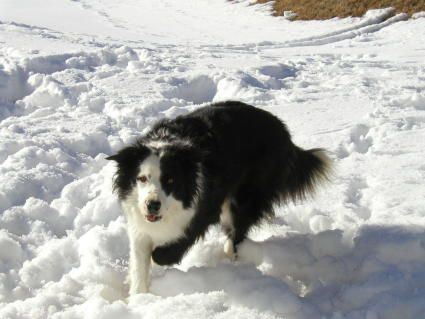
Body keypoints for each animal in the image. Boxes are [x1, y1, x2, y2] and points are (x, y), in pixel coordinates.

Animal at [106, 101, 332, 296]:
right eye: (142, 178)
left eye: (170, 180)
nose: (152, 205)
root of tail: (282, 129)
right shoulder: (139, 220)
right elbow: (140, 259)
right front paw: (138, 296)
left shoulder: (202, 208)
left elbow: (168, 248)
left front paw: (159, 258)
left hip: (248, 190)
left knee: (238, 226)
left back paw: (230, 255)